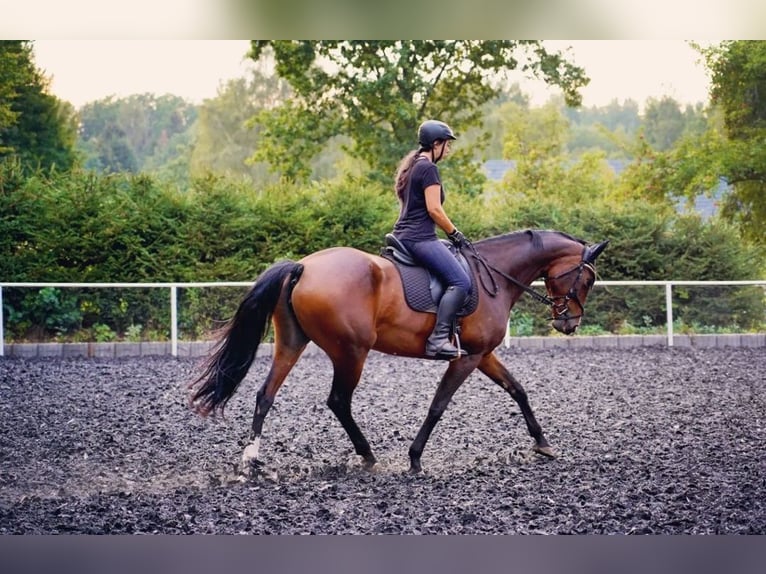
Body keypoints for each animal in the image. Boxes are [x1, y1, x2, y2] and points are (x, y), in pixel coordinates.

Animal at [189, 231, 608, 476]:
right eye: (586, 279)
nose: (569, 324)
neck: (495, 276)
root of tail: (304, 266)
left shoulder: (483, 354)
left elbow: (518, 390)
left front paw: (542, 444)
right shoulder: (467, 357)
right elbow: (438, 405)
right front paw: (415, 458)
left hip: (292, 342)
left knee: (266, 394)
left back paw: (251, 461)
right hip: (351, 351)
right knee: (338, 400)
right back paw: (367, 455)